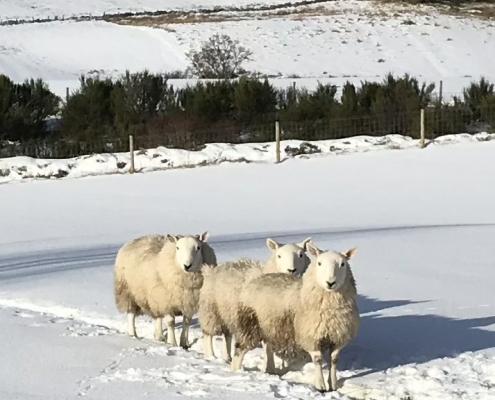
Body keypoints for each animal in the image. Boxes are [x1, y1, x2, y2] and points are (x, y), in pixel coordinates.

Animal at [197, 236, 310, 368]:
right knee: (207, 335)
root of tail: (210, 270)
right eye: (279, 255)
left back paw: (227, 357)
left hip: (228, 314)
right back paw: (211, 356)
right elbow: (268, 348)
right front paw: (269, 368)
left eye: (301, 254)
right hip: (211, 311)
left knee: (227, 335)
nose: (291, 270)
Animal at [232, 242, 360, 392]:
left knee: (266, 348)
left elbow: (334, 360)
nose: (330, 282)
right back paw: (236, 372)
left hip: (269, 329)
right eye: (319, 263)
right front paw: (320, 386)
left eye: (343, 263)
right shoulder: (310, 336)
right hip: (249, 325)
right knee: (239, 352)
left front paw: (333, 385)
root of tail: (255, 280)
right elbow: (317, 360)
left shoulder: (338, 337)